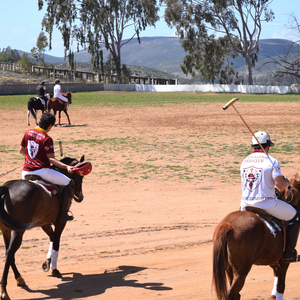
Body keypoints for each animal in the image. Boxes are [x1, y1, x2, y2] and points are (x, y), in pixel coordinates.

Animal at [0, 156, 86, 298]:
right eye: (81, 177)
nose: (80, 197)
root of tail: (6, 188)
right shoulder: (60, 222)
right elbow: (56, 242)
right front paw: (54, 269)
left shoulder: (45, 223)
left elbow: (52, 238)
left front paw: (47, 262)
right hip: (18, 231)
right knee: (10, 252)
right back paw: (4, 291)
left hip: (6, 229)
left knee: (8, 252)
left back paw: (19, 279)